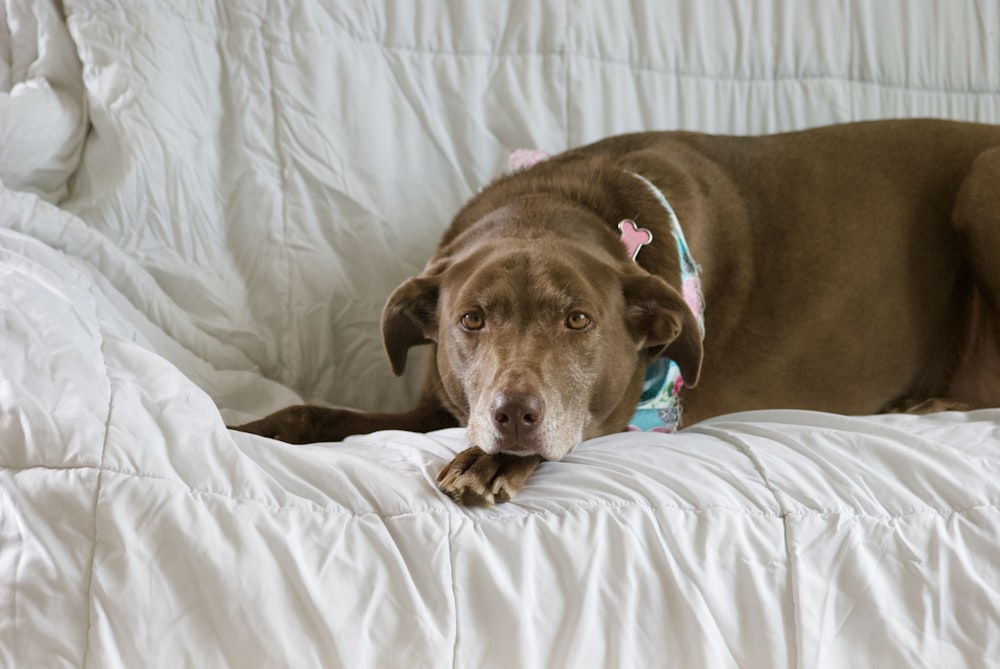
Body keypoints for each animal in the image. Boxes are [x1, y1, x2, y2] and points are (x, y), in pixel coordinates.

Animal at [236, 120, 1000, 504]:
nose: (514, 415)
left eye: (578, 320)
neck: (555, 202)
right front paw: (247, 429)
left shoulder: (622, 417)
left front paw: (487, 462)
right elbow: (312, 413)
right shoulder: (435, 405)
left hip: (982, 181)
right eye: (471, 320)